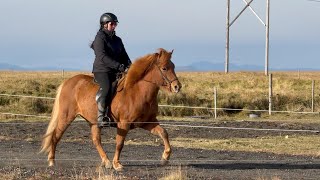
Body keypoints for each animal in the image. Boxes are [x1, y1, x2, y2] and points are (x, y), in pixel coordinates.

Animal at [39, 48, 182, 172]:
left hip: (94, 122)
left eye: (174, 66)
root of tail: (68, 82)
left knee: (96, 140)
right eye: (164, 68)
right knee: (56, 136)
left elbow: (164, 133)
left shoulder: (147, 122)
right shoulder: (124, 123)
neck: (138, 92)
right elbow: (120, 143)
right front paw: (117, 164)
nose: (177, 87)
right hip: (66, 117)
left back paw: (106, 161)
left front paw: (165, 157)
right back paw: (51, 161)